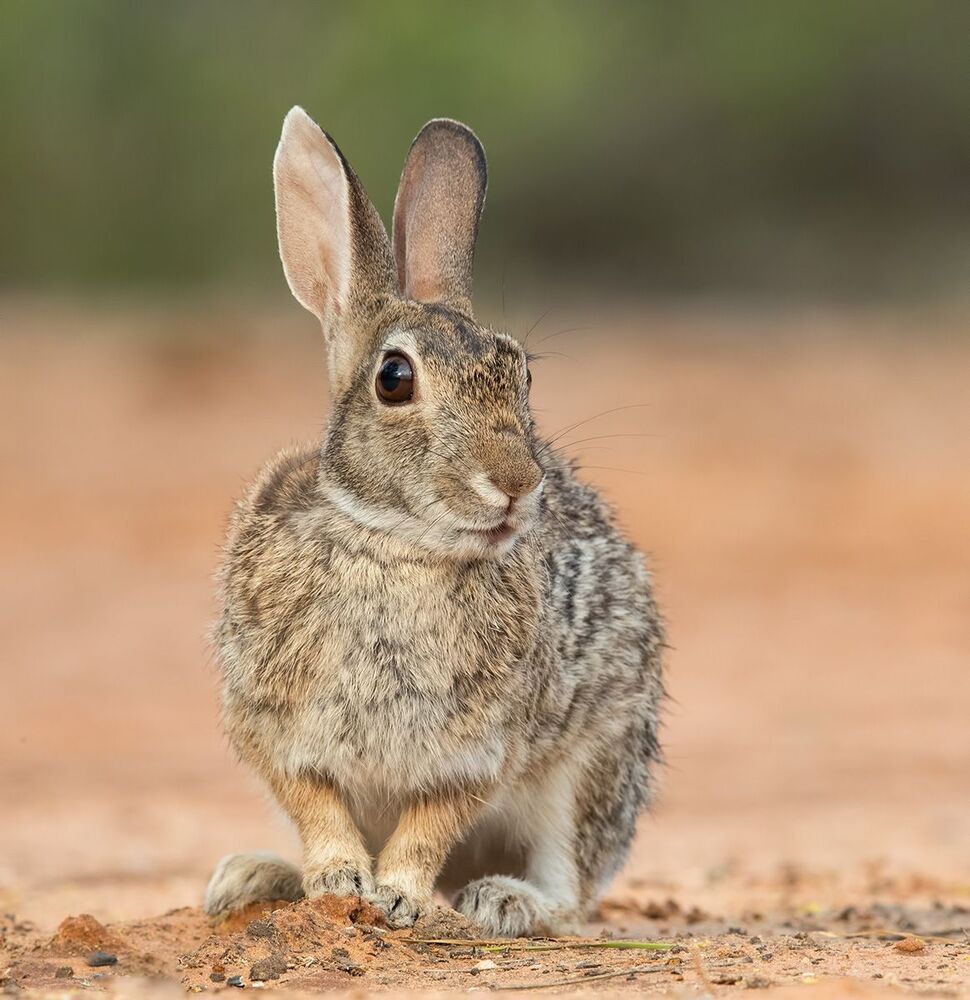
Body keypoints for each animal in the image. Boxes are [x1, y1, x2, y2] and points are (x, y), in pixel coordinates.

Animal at [203, 106, 665, 937]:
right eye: (394, 379)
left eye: (523, 372)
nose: (517, 483)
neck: (395, 544)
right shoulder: (274, 727)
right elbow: (316, 805)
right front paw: (339, 879)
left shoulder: (481, 747)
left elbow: (432, 821)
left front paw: (397, 896)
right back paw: (258, 877)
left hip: (595, 763)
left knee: (573, 889)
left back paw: (506, 900)